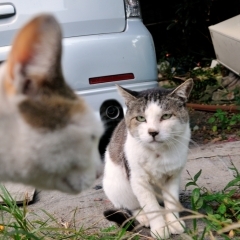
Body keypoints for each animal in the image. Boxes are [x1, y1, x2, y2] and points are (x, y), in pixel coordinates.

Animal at [103, 79, 193, 239]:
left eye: (166, 116)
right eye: (141, 118)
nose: (153, 132)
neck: (158, 153)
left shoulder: (173, 176)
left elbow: (171, 201)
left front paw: (173, 223)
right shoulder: (139, 180)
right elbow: (151, 207)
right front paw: (159, 229)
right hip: (119, 186)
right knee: (132, 206)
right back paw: (144, 216)